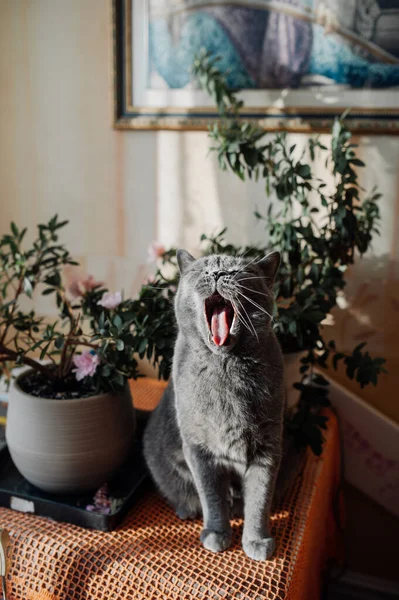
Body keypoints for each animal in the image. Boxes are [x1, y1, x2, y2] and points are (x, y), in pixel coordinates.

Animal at [143, 247, 284, 556]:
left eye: (237, 272)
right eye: (204, 270)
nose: (218, 273)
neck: (226, 367)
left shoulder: (268, 446)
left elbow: (259, 499)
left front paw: (257, 541)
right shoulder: (198, 450)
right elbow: (212, 498)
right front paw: (216, 534)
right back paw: (187, 510)